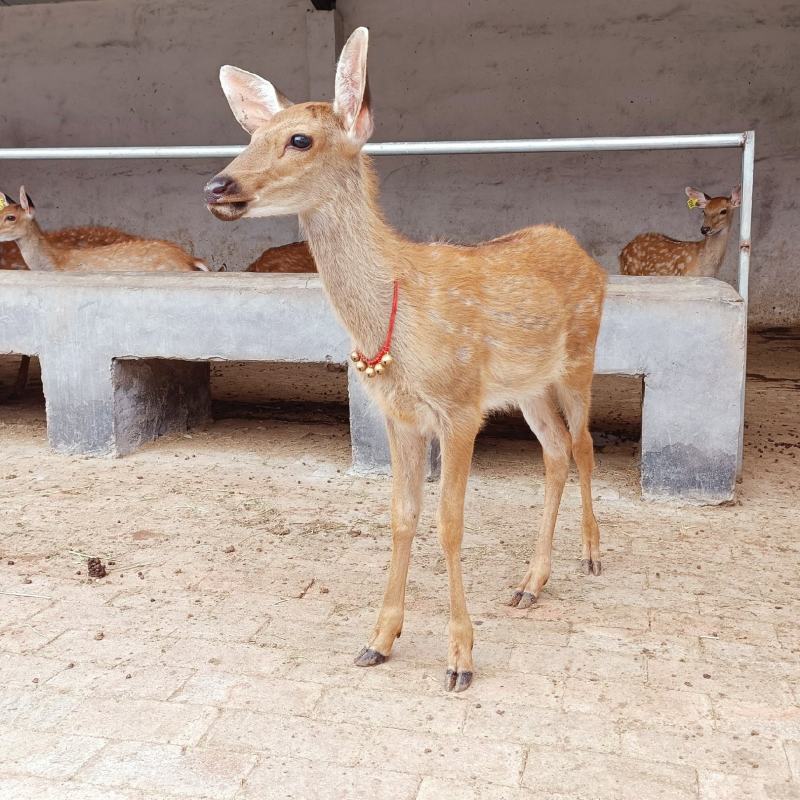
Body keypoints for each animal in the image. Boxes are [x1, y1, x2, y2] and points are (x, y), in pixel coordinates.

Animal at [204, 27, 606, 692]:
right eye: (251, 137)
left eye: (299, 138)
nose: (217, 186)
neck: (397, 314)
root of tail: (585, 253)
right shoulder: (399, 415)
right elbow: (401, 515)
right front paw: (379, 639)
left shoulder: (461, 405)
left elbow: (449, 523)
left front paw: (460, 658)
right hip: (526, 387)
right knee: (554, 452)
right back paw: (530, 583)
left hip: (582, 355)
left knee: (583, 444)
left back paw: (592, 555)